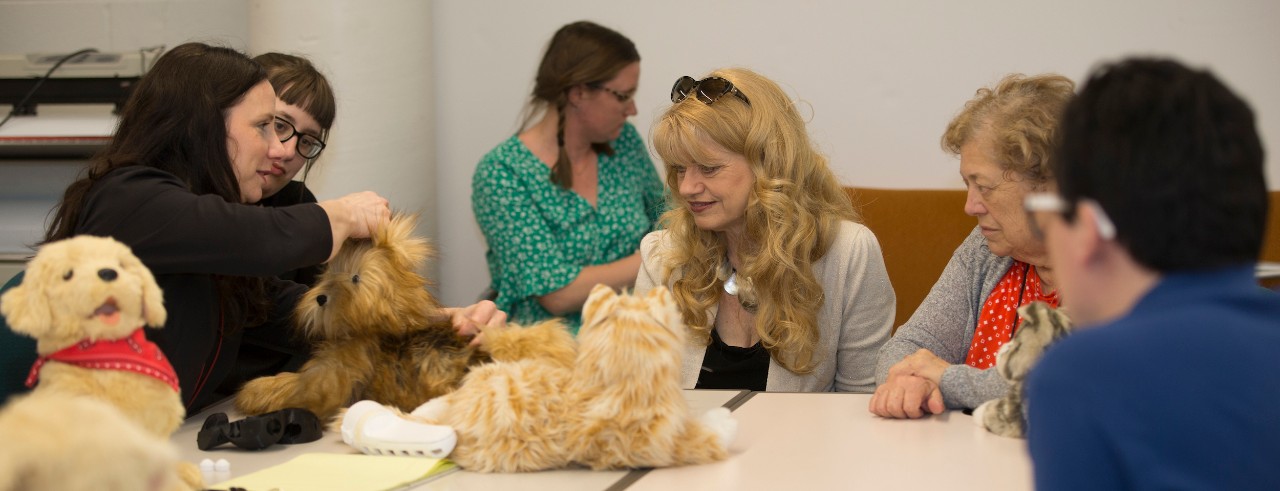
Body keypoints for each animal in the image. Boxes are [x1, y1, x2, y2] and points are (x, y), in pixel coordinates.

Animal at [235, 214, 488, 421]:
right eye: (330, 273)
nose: (320, 298)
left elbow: (297, 388)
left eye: (356, 277)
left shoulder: (329, 379)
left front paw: (252, 392)